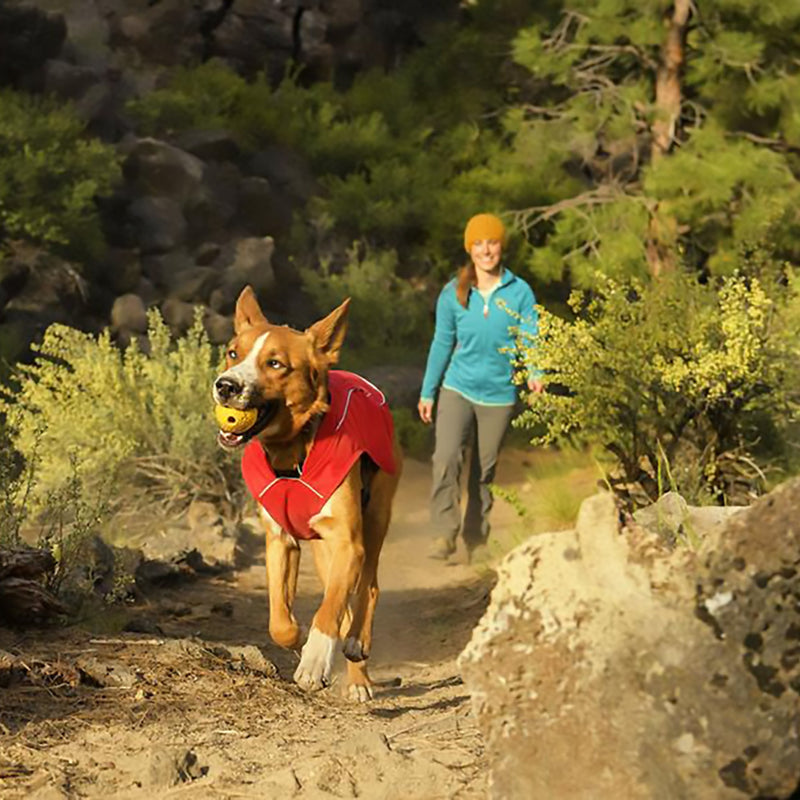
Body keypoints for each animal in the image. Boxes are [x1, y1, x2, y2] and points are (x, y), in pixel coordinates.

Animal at [212, 288, 404, 700]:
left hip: (375, 518)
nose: (226, 385)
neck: (292, 456)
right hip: (324, 551)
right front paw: (297, 637)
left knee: (368, 588)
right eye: (233, 353)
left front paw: (315, 660)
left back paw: (357, 655)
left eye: (275, 363)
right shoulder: (280, 540)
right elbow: (279, 621)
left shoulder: (349, 542)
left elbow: (329, 611)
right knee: (344, 596)